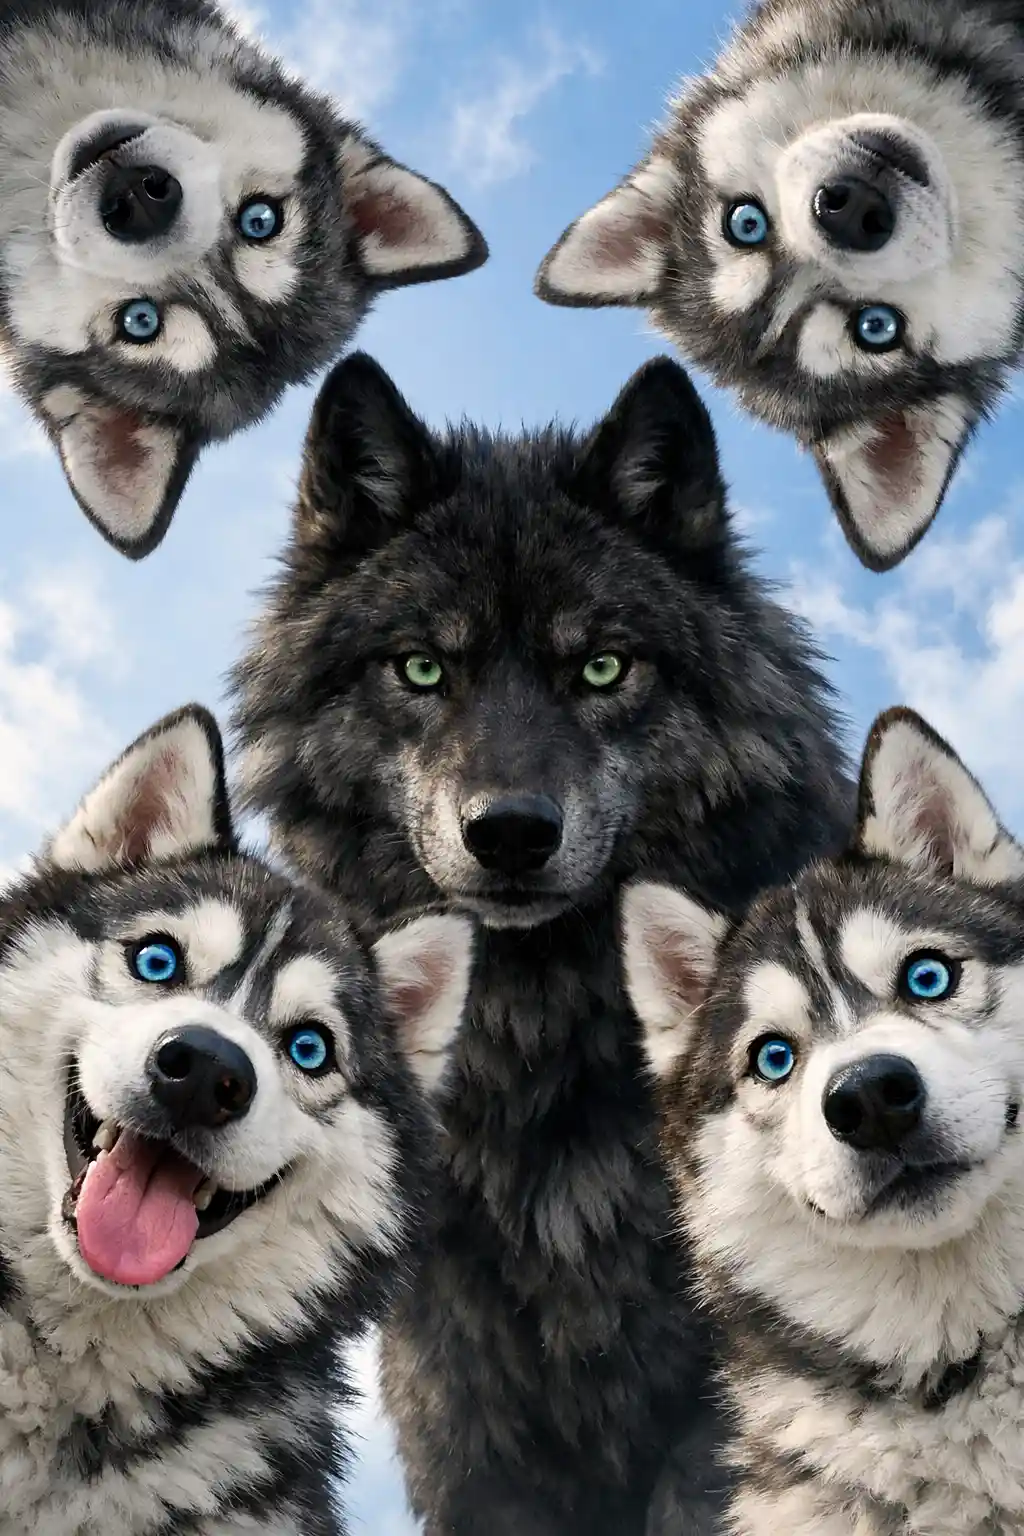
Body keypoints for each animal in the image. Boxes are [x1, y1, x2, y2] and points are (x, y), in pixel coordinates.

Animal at [230, 348, 853, 1534]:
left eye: (602, 668)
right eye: (422, 669)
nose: (511, 833)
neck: (542, 1052)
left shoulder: (721, 1413)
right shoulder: (462, 1411)